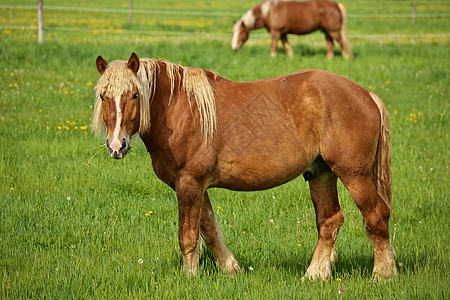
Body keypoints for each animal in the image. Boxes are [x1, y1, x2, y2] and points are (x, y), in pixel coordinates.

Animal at [93, 52, 396, 280]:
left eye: (134, 95)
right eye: (103, 96)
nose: (116, 146)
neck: (179, 108)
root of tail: (367, 95)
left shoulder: (189, 182)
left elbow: (188, 236)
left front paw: (190, 277)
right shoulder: (197, 185)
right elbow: (209, 229)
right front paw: (230, 268)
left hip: (354, 175)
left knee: (376, 216)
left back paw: (382, 275)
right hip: (321, 174)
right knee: (330, 221)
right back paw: (315, 275)